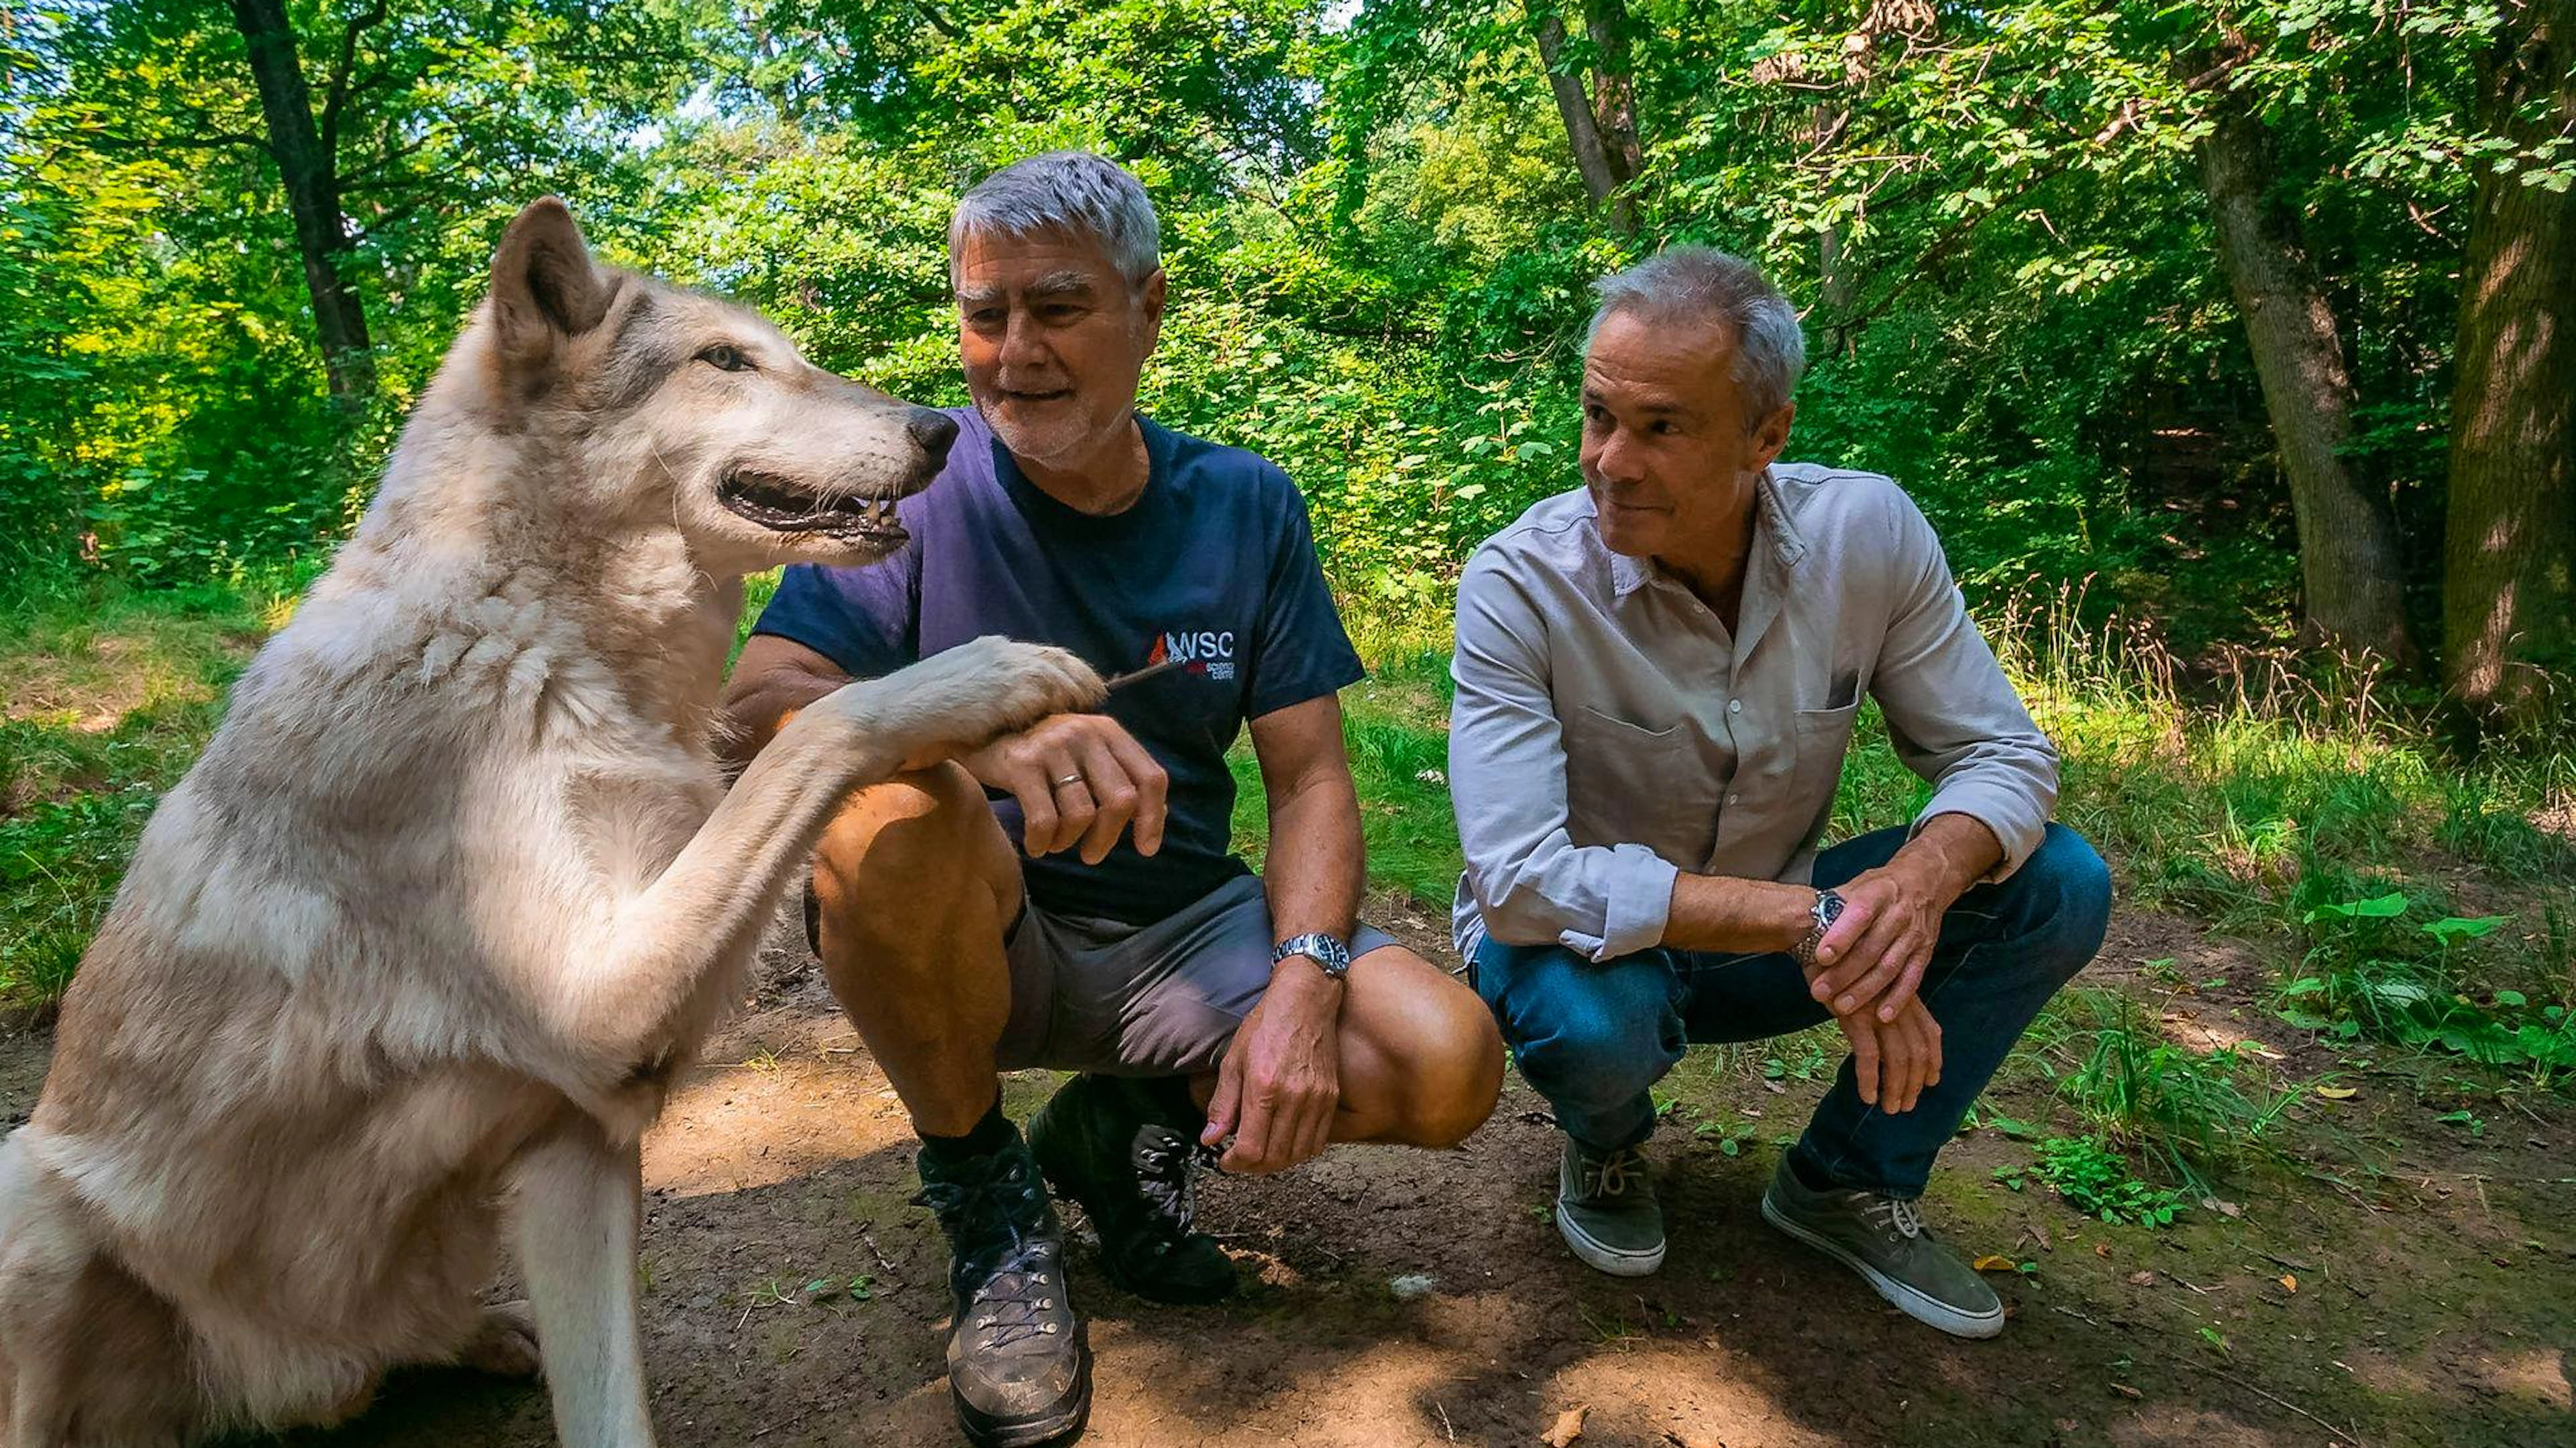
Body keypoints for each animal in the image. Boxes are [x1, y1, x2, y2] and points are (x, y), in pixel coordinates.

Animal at [0, 199, 1102, 1447]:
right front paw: (997, 676)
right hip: (29, 1213)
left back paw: (485, 1335)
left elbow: (613, 1406)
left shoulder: (586, 1123)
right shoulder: (594, 1005)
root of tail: (283, 1382)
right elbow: (828, 725)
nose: (939, 429)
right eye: (725, 361)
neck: (535, 636)